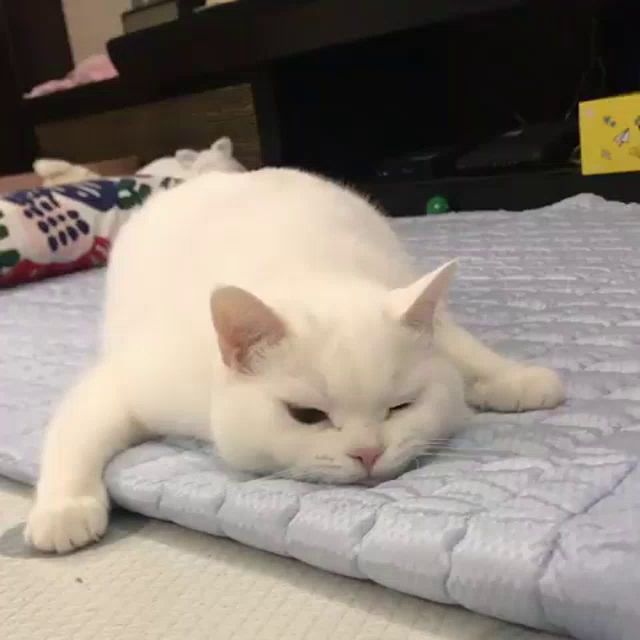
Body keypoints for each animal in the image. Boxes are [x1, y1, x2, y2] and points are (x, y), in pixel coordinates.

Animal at [25, 168, 564, 552]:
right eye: (307, 415)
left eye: (400, 407)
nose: (368, 453)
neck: (305, 272)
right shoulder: (130, 380)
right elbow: (76, 434)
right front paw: (63, 509)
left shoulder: (428, 319)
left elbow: (466, 349)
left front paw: (516, 379)